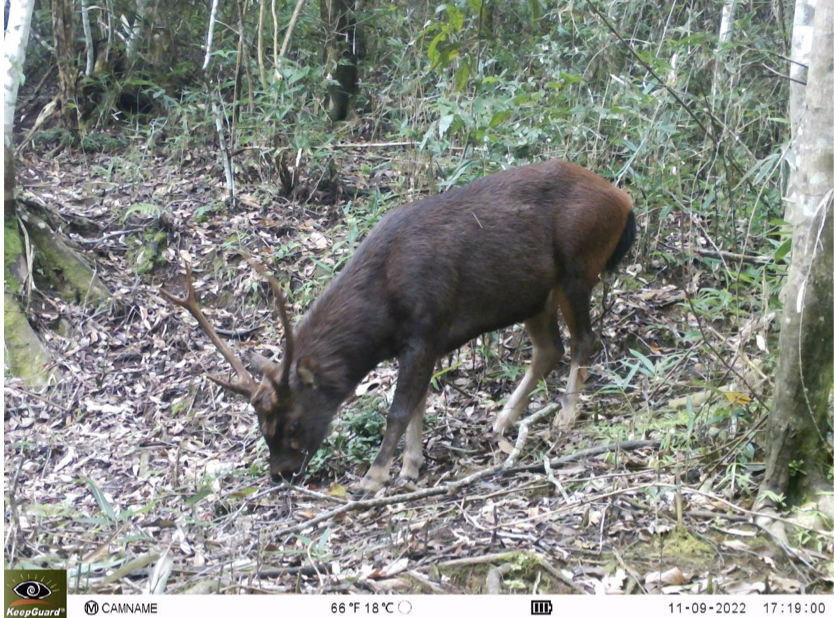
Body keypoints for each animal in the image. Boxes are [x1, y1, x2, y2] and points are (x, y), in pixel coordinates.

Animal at [161, 159, 635, 493]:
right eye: (261, 426)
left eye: (293, 423)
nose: (281, 472)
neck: (382, 315)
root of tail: (625, 202)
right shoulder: (423, 342)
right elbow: (419, 404)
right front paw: (410, 466)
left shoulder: (427, 330)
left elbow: (400, 409)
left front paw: (374, 476)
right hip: (533, 293)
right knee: (548, 348)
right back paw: (502, 421)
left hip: (578, 266)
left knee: (584, 340)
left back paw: (567, 415)